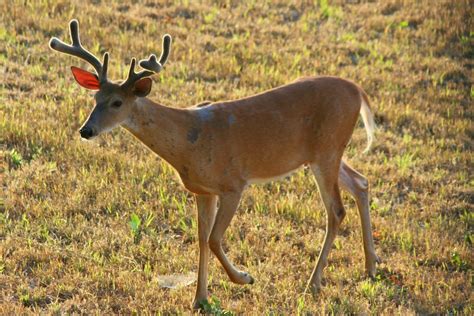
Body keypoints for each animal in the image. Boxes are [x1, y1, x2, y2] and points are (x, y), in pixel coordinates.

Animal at [49, 19, 382, 308]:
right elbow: (200, 239)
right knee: (361, 182)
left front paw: (244, 278)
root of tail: (358, 90)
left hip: (327, 149)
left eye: (117, 102)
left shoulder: (233, 184)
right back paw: (370, 265)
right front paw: (199, 299)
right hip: (324, 152)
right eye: (95, 98)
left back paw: (313, 282)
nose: (86, 130)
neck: (188, 142)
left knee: (336, 210)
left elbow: (213, 239)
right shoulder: (202, 190)